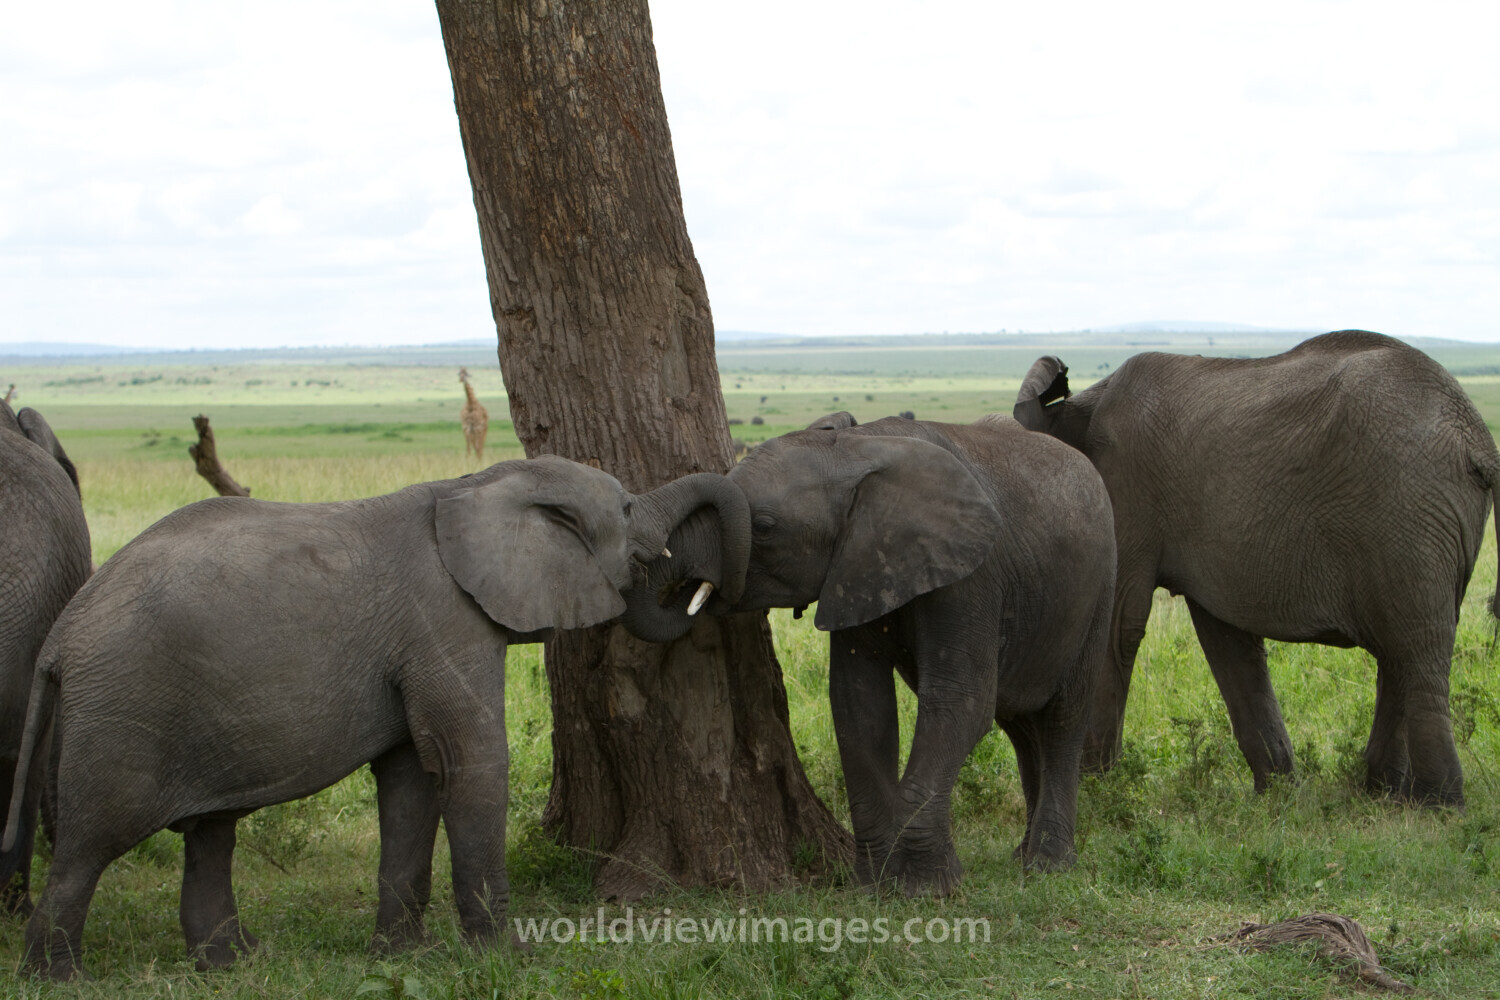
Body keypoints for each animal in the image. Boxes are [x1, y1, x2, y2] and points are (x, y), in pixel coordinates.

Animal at [1, 455, 748, 979]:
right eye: (626, 506)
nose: (696, 585)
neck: (477, 480)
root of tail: (60, 637)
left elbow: (410, 780)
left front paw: (404, 959)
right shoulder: (444, 617)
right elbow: (471, 760)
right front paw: (508, 960)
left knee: (211, 834)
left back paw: (234, 964)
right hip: (123, 711)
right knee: (92, 845)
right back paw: (59, 980)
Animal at [622, 413, 1116, 890]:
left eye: (762, 528)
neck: (862, 448)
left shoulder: (972, 577)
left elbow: (960, 702)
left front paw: (927, 887)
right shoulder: (853, 568)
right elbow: (859, 705)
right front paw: (874, 884)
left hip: (1098, 592)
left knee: (1061, 721)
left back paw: (1049, 865)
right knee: (1019, 725)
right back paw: (1021, 857)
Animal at [1014, 330, 1500, 807]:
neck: (1078, 405)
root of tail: (1475, 438)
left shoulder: (1127, 484)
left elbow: (1118, 628)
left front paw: (1092, 786)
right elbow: (1227, 640)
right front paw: (1278, 794)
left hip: (1407, 509)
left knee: (1416, 645)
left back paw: (1436, 803)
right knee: (1403, 651)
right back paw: (1383, 794)